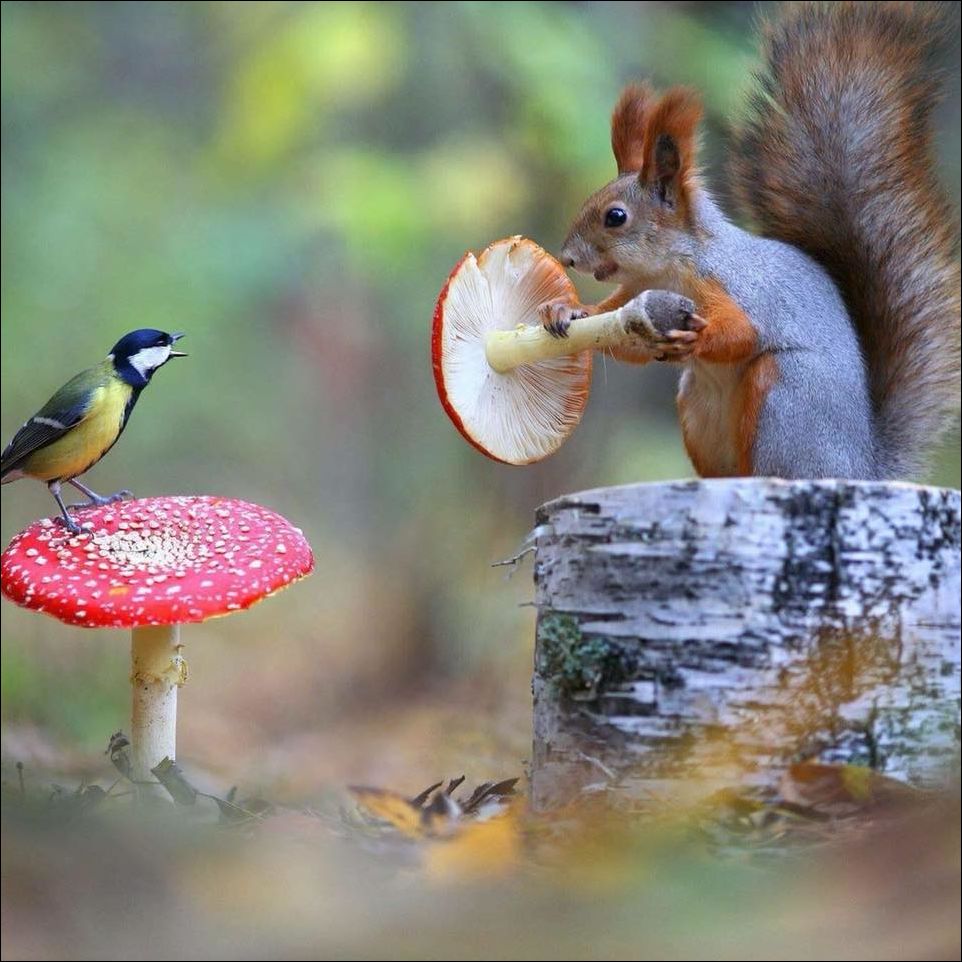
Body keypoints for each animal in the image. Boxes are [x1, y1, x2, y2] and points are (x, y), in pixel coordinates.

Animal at [538, 1, 960, 480]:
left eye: (615, 217)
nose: (568, 258)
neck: (671, 266)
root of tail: (857, 468)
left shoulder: (733, 284)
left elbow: (744, 332)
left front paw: (699, 340)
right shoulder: (635, 297)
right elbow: (618, 334)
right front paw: (566, 309)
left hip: (783, 396)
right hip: (697, 407)